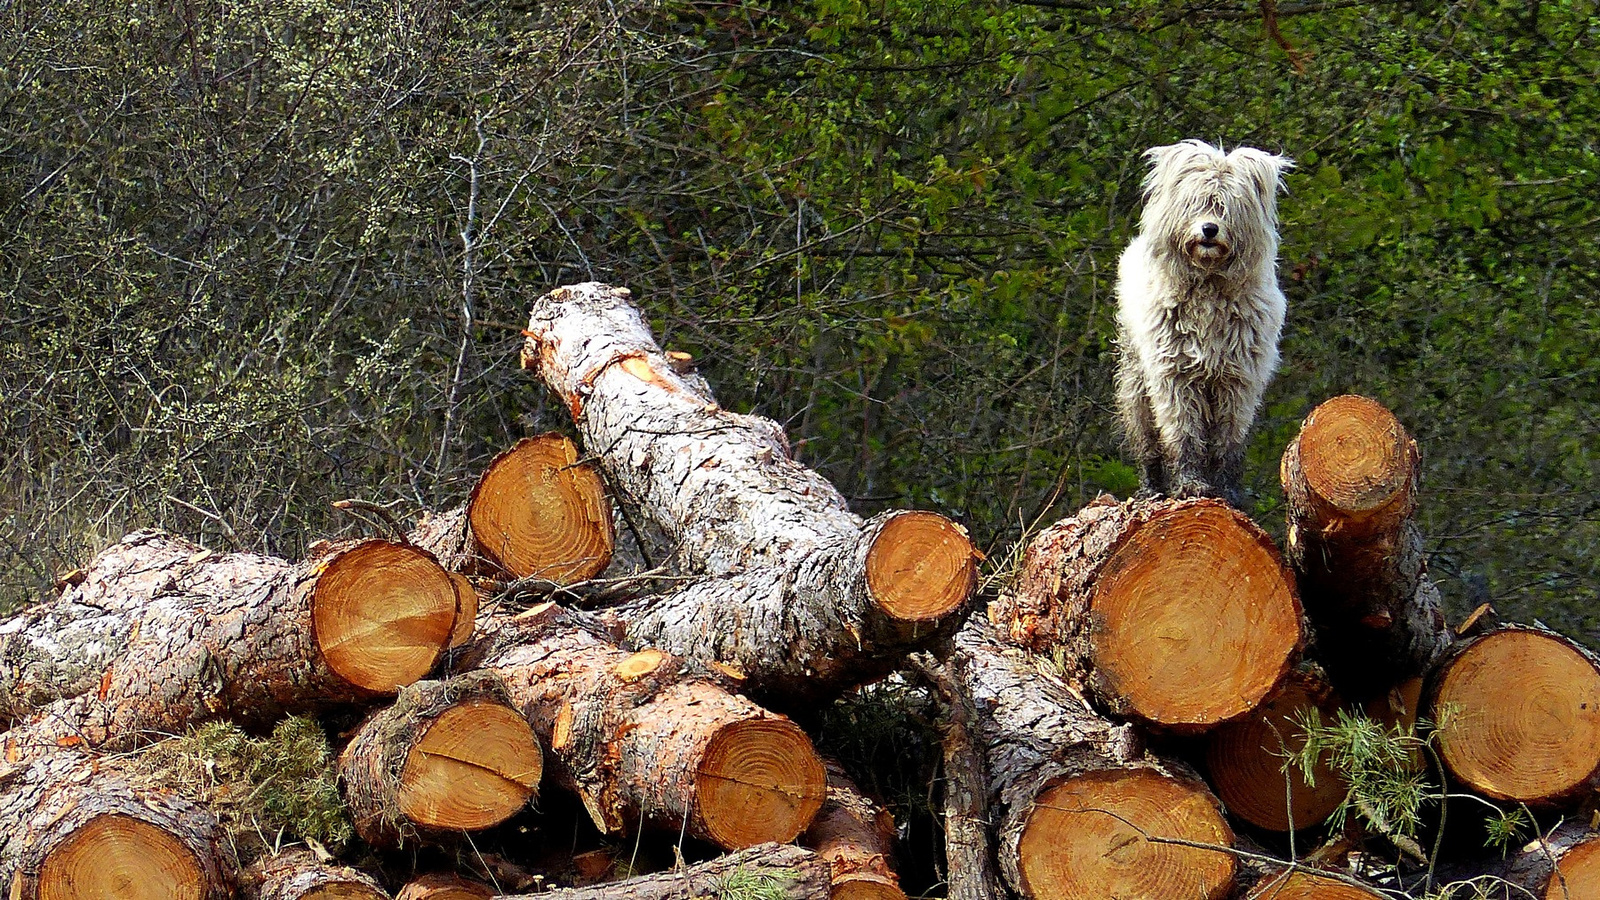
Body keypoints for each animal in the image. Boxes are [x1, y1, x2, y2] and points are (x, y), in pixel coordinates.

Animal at [1120, 140, 1292, 506]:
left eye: (1226, 206)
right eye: (1195, 202)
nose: (1209, 229)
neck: (1209, 284)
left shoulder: (1238, 380)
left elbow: (1228, 441)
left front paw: (1226, 491)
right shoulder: (1174, 375)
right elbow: (1182, 433)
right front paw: (1190, 485)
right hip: (1136, 379)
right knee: (1146, 437)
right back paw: (1150, 489)